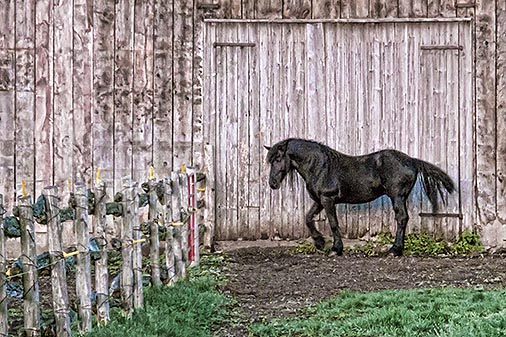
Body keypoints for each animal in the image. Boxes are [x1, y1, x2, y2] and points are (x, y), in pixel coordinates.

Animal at [264, 136, 454, 255]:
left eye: (278, 159)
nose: (272, 183)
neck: (320, 167)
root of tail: (412, 161)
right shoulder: (319, 200)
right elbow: (308, 218)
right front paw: (319, 243)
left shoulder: (328, 199)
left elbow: (333, 223)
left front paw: (336, 249)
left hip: (397, 196)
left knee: (401, 218)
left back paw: (395, 250)